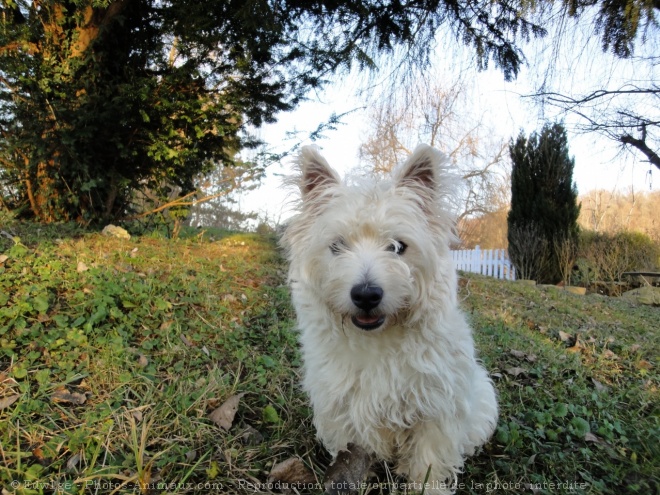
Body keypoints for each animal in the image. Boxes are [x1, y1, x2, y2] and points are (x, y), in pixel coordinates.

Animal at [282, 143, 498, 492]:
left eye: (398, 246)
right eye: (337, 246)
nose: (366, 295)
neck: (379, 340)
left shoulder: (436, 410)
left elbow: (429, 462)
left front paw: (429, 489)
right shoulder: (343, 408)